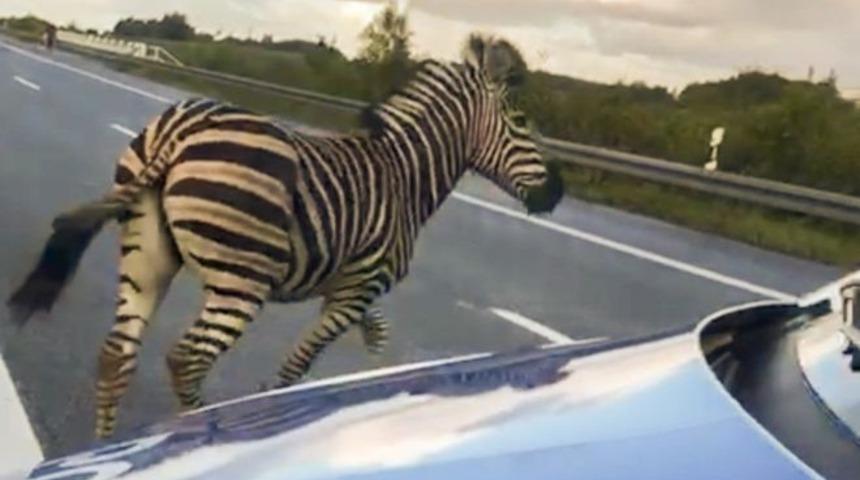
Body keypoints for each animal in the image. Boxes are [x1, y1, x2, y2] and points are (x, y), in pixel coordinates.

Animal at [7, 34, 563, 438]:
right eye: (520, 121)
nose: (557, 192)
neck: (404, 177)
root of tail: (180, 131)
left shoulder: (352, 288)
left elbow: (379, 334)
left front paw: (382, 381)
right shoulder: (356, 289)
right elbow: (299, 364)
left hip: (148, 255)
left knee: (116, 354)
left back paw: (106, 444)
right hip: (241, 280)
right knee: (187, 359)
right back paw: (204, 431)